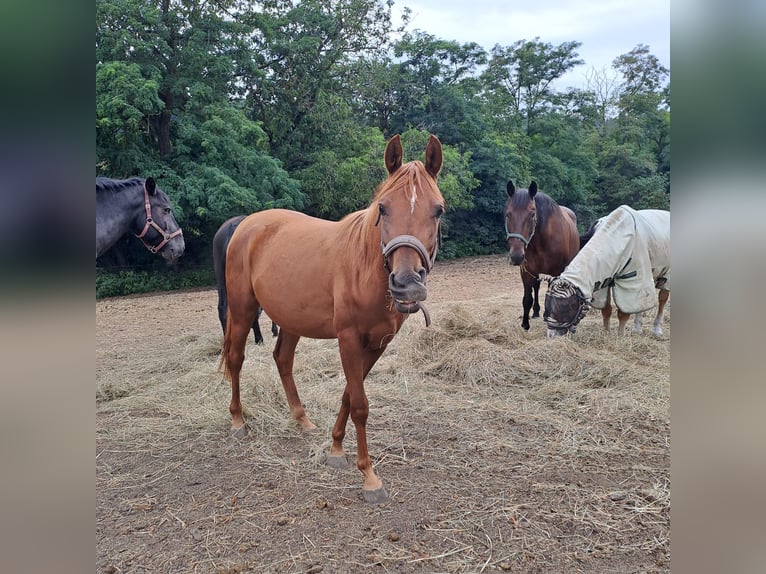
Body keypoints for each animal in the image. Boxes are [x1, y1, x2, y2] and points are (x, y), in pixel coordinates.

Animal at [220, 134, 445, 503]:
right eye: (383, 208)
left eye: (438, 210)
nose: (407, 284)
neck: (364, 267)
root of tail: (246, 225)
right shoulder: (349, 339)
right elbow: (360, 405)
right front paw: (369, 477)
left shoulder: (378, 343)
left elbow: (349, 395)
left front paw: (336, 450)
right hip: (241, 311)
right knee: (236, 359)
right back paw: (238, 421)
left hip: (292, 319)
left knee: (283, 359)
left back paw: (302, 419)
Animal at [503, 180, 580, 330]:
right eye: (508, 214)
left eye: (532, 214)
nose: (516, 256)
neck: (543, 240)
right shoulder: (526, 271)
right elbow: (527, 299)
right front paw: (525, 325)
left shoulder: (557, 272)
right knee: (537, 286)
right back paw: (536, 311)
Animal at [543, 206, 670, 337]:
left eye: (566, 306)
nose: (551, 335)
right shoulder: (603, 278)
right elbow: (606, 310)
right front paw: (606, 332)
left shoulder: (632, 281)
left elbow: (623, 313)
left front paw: (620, 336)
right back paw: (637, 328)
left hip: (665, 276)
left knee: (662, 299)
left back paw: (657, 330)